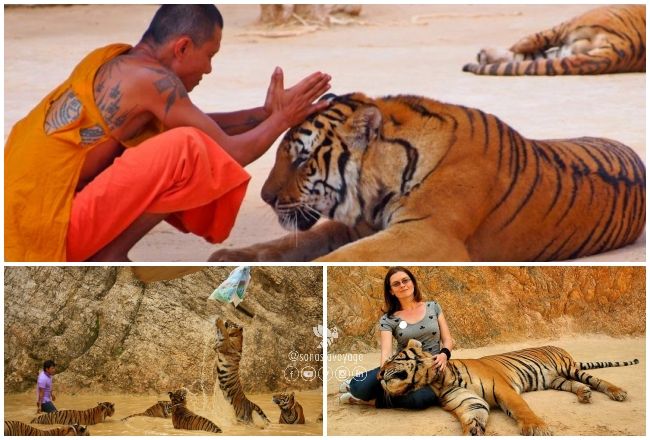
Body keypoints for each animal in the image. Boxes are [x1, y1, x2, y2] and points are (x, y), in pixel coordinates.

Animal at [209, 93, 644, 262]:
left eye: (301, 159)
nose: (265, 197)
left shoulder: (427, 233)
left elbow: (343, 258)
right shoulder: (356, 226)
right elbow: (287, 243)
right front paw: (229, 256)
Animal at [378, 338, 636, 434]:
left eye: (394, 358)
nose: (379, 374)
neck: (439, 380)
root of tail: (558, 346)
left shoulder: (503, 389)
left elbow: (520, 408)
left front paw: (537, 428)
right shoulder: (469, 401)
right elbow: (473, 417)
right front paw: (473, 431)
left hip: (569, 368)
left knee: (596, 380)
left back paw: (618, 392)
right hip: (556, 379)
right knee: (574, 385)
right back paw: (584, 394)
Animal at [460, 4, 644, 75]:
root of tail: (626, 46)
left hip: (572, 23)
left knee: (526, 44)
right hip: (566, 50)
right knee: (531, 58)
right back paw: (486, 56)